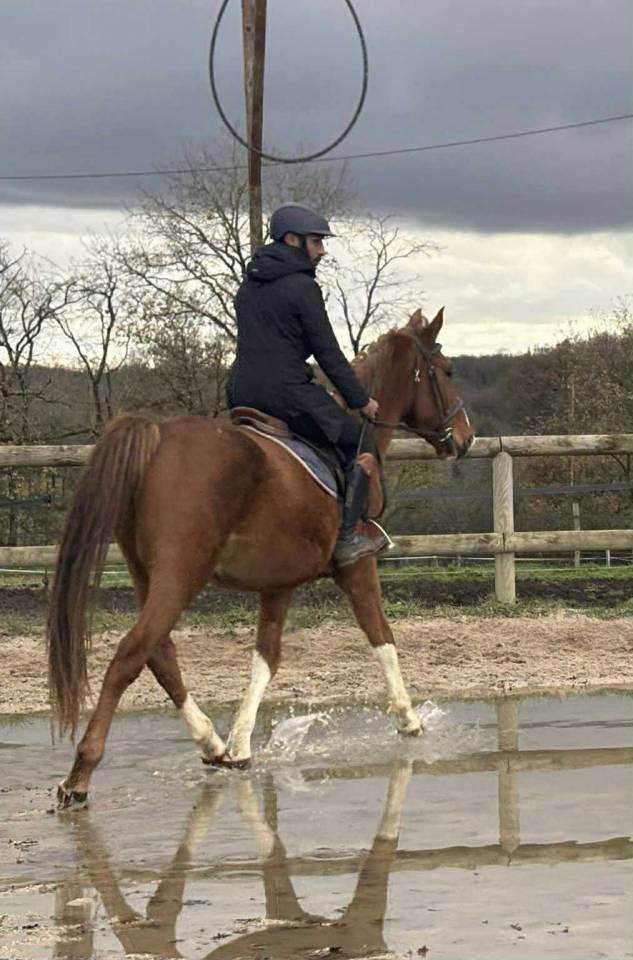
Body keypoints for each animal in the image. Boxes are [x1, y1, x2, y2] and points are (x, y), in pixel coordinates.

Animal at [47, 306, 474, 808]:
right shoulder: (356, 565)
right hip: (180, 575)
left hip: (145, 573)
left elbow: (266, 656)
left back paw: (211, 744)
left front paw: (240, 746)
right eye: (446, 371)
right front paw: (409, 721)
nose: (464, 438)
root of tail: (156, 434)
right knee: (131, 655)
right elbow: (380, 636)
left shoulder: (278, 582)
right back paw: (81, 774)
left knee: (161, 654)